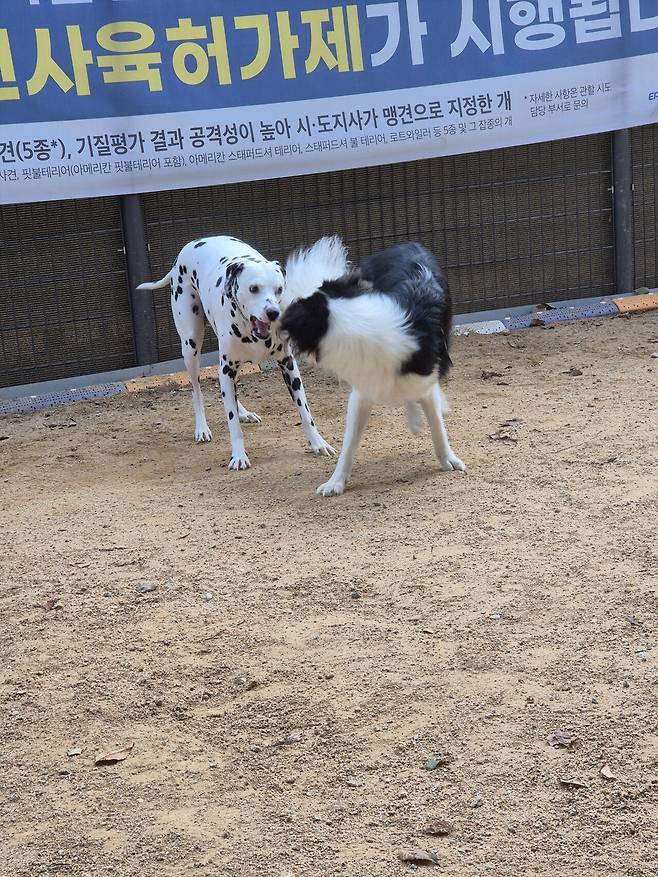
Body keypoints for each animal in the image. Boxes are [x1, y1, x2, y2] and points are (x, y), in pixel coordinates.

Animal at [138, 231, 344, 466]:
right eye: (254, 289)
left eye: (279, 289)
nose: (273, 312)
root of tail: (189, 246)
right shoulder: (226, 368)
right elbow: (232, 422)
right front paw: (238, 455)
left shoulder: (289, 366)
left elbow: (305, 411)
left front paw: (318, 443)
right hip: (190, 346)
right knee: (196, 391)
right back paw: (202, 428)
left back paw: (243, 412)